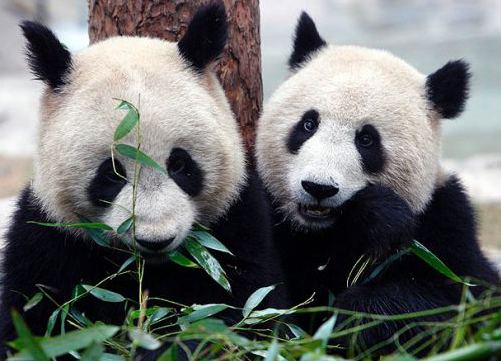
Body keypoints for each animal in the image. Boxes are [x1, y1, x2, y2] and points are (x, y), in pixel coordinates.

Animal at [0, 2, 286, 358]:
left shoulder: (237, 223)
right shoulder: (50, 236)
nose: (156, 239)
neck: (148, 268)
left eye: (180, 165)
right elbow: (34, 324)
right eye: (112, 173)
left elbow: (247, 315)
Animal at [256, 11, 498, 354]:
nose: (318, 188)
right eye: (308, 124)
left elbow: (464, 298)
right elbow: (259, 298)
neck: (321, 232)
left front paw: (353, 318)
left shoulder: (444, 220)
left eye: (367, 139)